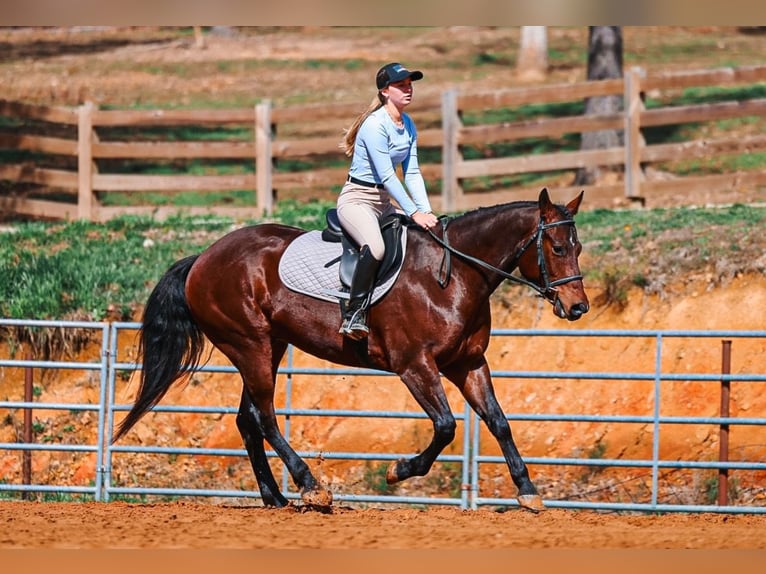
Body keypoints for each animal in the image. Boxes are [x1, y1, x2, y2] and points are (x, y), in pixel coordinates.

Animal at [113, 187, 589, 512]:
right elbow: (445, 426)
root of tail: (202, 258)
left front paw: (527, 492)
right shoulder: (416, 366)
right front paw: (399, 470)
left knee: (248, 420)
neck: (453, 274)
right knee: (264, 418)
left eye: (578, 247)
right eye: (557, 247)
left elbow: (499, 423)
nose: (578, 307)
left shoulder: (468, 364)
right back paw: (310, 487)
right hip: (250, 345)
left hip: (269, 346)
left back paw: (276, 498)